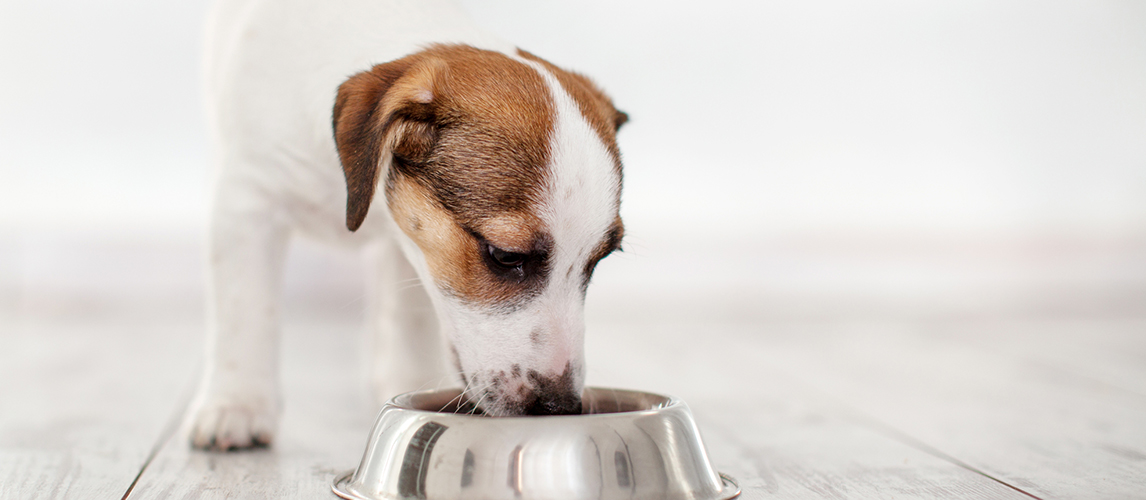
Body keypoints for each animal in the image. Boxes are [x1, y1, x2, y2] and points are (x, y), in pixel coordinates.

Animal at [192, 0, 632, 449]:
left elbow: (412, 315)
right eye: (505, 255)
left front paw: (410, 382)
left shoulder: (412, 245)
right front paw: (237, 402)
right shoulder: (248, 203)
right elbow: (245, 310)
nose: (559, 406)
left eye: (599, 260)